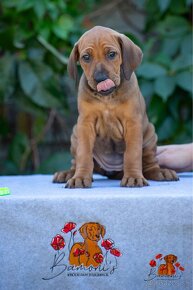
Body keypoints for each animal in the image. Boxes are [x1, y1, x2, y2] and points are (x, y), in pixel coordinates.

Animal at [52, 25, 178, 188]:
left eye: (112, 54)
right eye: (86, 57)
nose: (101, 78)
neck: (107, 97)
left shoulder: (132, 123)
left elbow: (132, 154)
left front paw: (133, 177)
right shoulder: (85, 124)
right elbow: (84, 154)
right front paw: (79, 177)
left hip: (150, 136)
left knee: (149, 164)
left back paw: (161, 172)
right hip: (75, 134)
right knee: (77, 160)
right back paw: (68, 173)